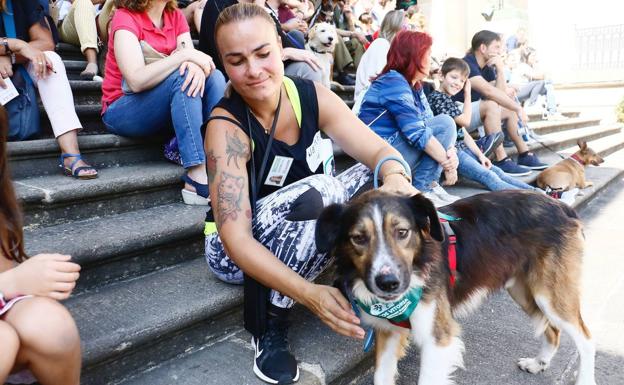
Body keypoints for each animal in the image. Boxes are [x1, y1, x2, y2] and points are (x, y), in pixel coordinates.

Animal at [316, 190, 596, 384]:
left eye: (402, 232)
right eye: (358, 238)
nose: (388, 283)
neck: (419, 262)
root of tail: (562, 206)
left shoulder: (437, 338)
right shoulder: (388, 332)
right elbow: (380, 376)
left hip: (550, 295)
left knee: (586, 339)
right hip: (526, 292)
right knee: (553, 330)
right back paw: (539, 363)